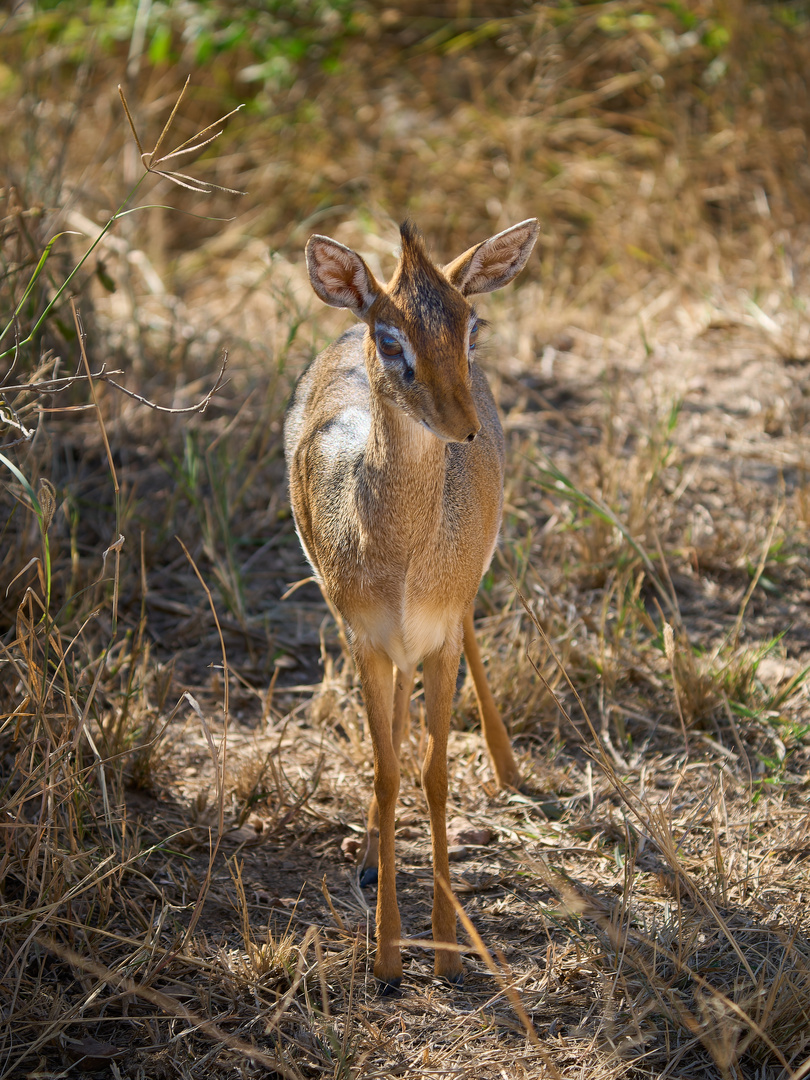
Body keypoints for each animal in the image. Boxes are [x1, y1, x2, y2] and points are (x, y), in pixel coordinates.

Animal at [282, 217, 540, 989]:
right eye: (390, 337)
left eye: (471, 325)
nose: (463, 426)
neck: (398, 565)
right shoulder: (365, 636)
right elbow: (390, 770)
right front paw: (389, 953)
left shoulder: (439, 636)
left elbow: (434, 775)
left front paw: (450, 950)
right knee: (393, 724)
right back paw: (368, 857)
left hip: (458, 607)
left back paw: (510, 769)